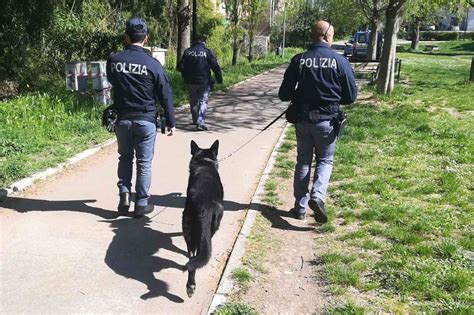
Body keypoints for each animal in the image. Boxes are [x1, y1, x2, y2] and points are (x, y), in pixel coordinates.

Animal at [183, 140, 224, 298]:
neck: (204, 161)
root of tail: (204, 206)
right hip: (210, 228)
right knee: (197, 254)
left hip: (190, 230)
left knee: (192, 259)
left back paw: (190, 286)